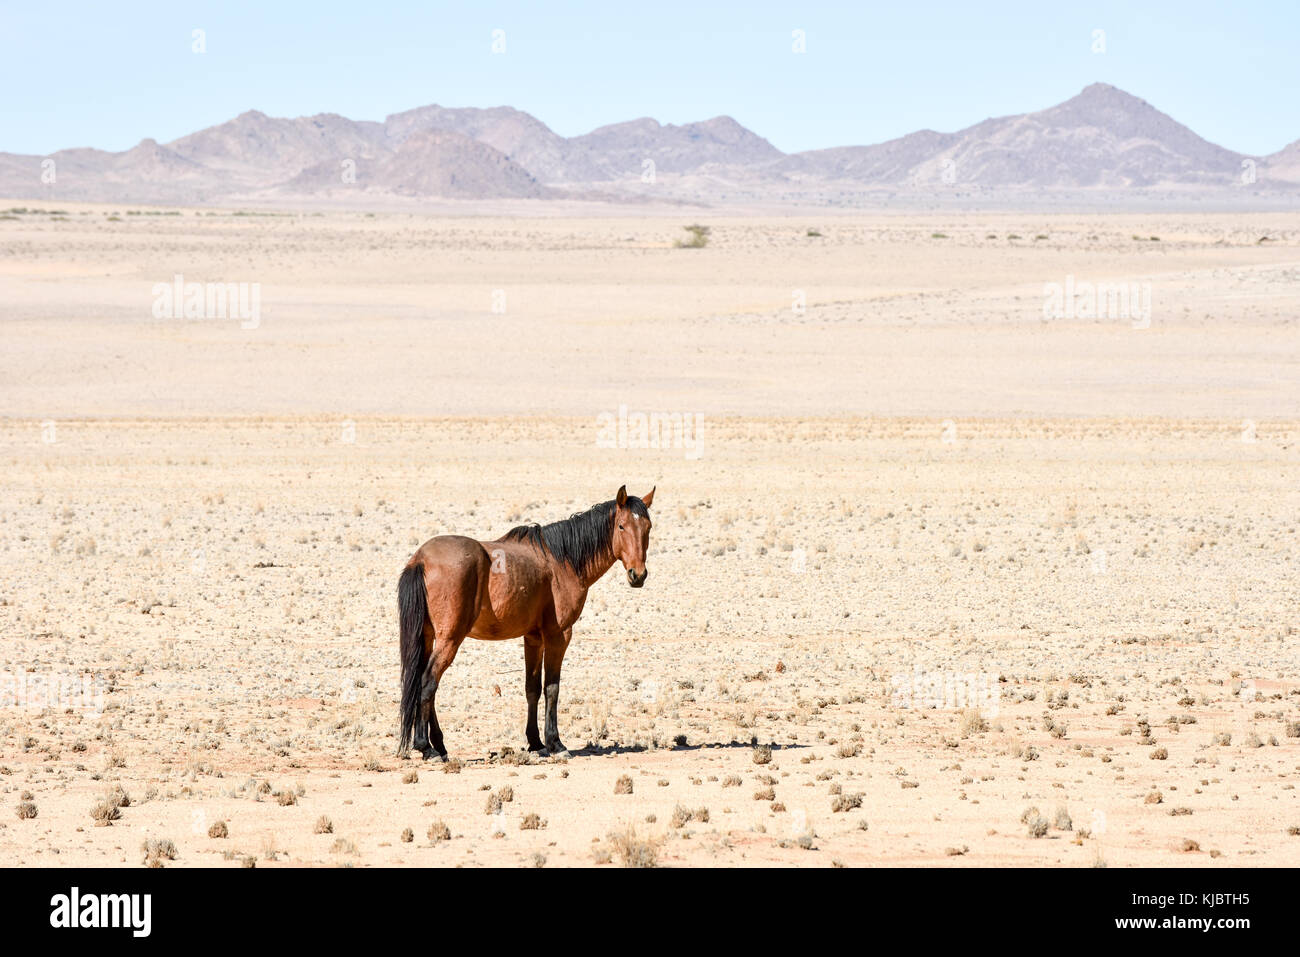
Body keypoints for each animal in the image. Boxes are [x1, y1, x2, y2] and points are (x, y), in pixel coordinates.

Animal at [392, 486, 655, 764]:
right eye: (622, 526)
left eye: (647, 527)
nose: (638, 575)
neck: (563, 561)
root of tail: (421, 560)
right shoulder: (558, 635)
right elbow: (552, 688)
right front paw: (555, 743)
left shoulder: (533, 638)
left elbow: (532, 689)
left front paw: (536, 743)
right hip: (449, 639)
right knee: (427, 683)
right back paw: (427, 747)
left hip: (428, 637)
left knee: (423, 683)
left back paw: (439, 745)